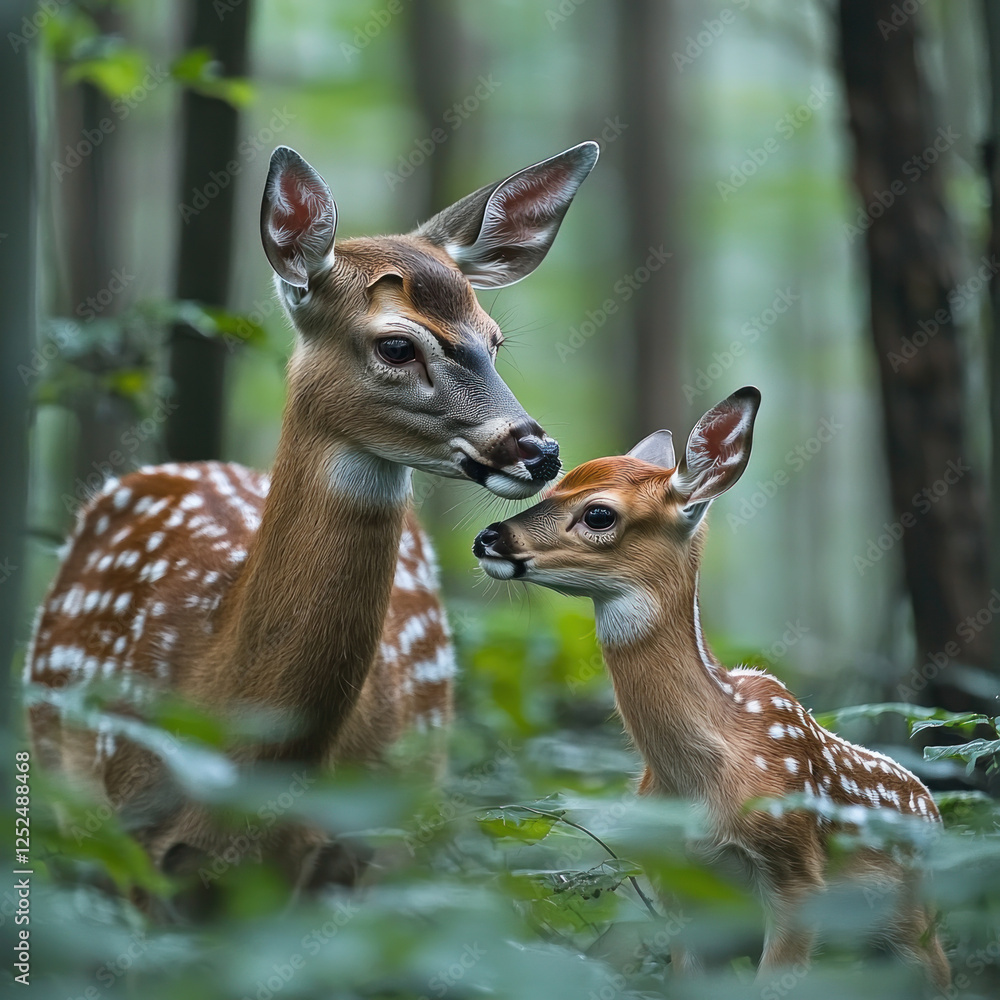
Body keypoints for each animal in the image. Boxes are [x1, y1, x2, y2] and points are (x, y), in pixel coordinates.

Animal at [473, 386, 950, 990]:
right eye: (553, 486)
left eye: (598, 513)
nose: (487, 538)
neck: (706, 774)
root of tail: (933, 807)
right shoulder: (684, 890)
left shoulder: (796, 872)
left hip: (917, 922)